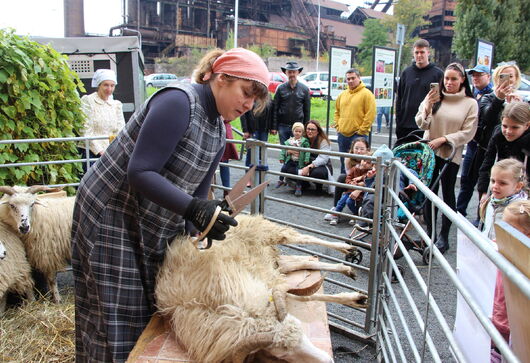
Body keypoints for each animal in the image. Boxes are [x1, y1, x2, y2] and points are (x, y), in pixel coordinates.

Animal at [155, 215, 366, 362]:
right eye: (283, 355)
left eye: (305, 335)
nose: (329, 360)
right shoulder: (269, 287)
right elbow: (303, 296)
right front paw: (354, 298)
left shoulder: (266, 288)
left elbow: (304, 297)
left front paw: (354, 299)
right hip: (274, 261)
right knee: (304, 262)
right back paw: (346, 270)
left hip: (269, 232)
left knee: (303, 237)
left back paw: (347, 249)